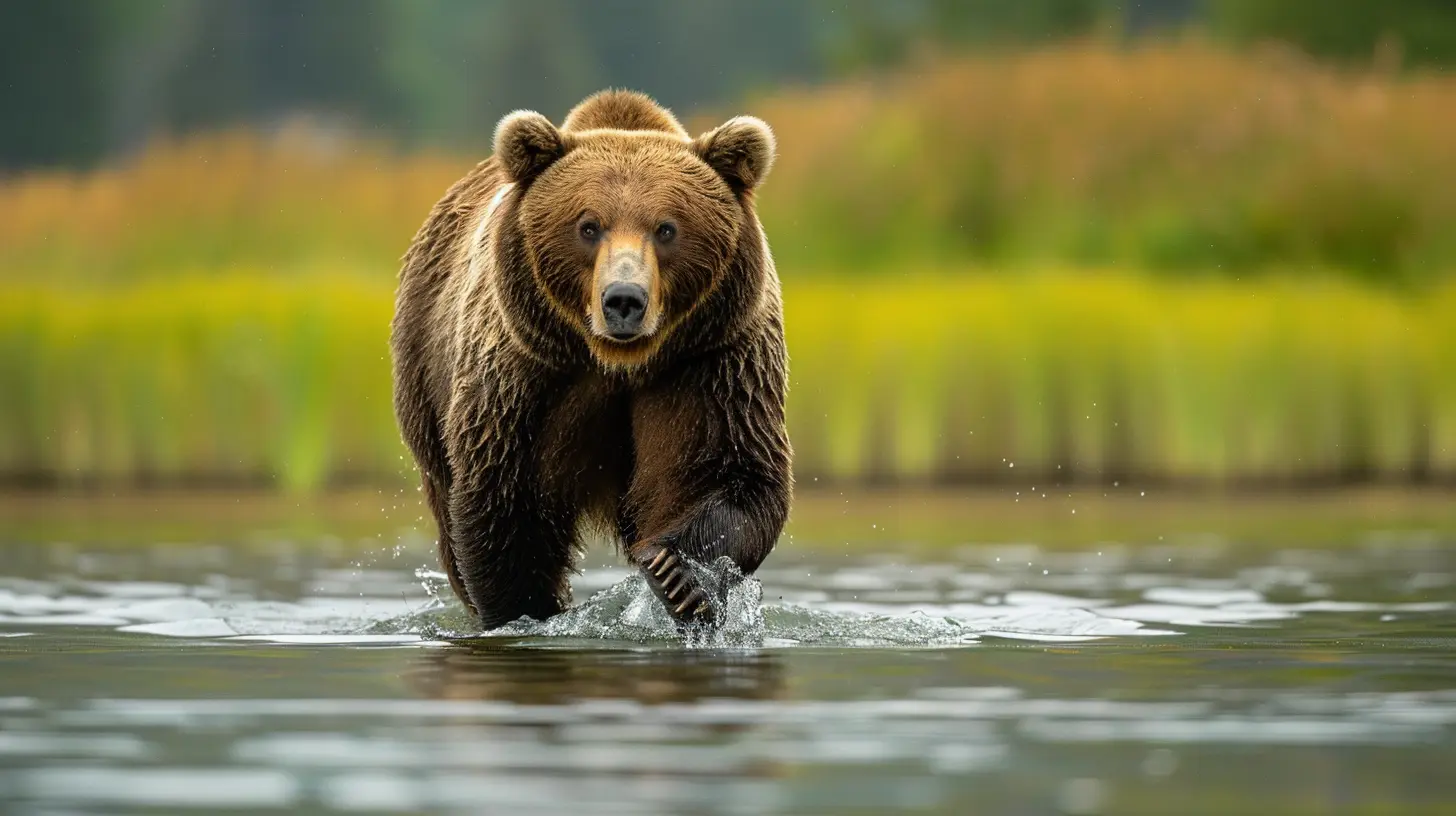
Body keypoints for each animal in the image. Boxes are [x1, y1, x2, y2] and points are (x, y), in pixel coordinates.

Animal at [390, 90, 791, 629]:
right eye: (588, 226)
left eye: (666, 228)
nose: (623, 299)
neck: (619, 362)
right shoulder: (526, 378)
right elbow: (503, 509)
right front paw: (528, 610)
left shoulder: (713, 363)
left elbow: (732, 473)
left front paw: (676, 575)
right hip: (425, 382)